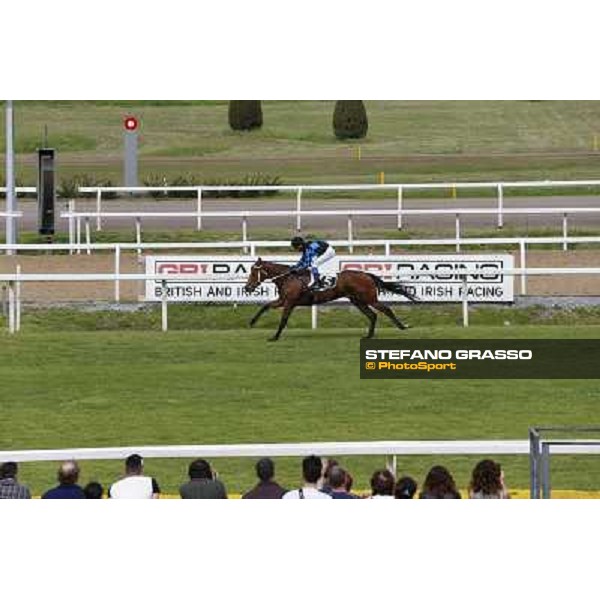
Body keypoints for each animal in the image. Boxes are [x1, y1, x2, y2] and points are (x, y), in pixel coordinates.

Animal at [244, 258, 418, 342]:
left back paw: (403, 326)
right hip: (357, 301)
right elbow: (265, 306)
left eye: (253, 272)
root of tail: (366, 274)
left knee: (385, 309)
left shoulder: (290, 303)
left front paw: (274, 337)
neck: (288, 278)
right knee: (372, 315)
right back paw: (368, 335)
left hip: (368, 298)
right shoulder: (282, 301)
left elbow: (283, 320)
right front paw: (252, 322)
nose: (247, 287)